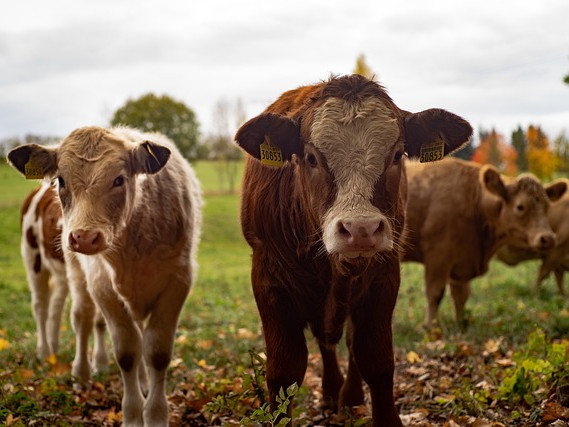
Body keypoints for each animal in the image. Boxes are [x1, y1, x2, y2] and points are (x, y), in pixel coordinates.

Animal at [8, 127, 202, 427]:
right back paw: (63, 362)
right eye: (61, 180)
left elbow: (156, 352)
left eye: (119, 179)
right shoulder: (102, 285)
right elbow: (127, 351)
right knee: (63, 312)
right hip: (39, 261)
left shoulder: (178, 281)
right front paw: (133, 416)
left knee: (62, 309)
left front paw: (155, 413)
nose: (84, 237)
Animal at [233, 75, 472, 426]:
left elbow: (376, 359)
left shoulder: (384, 277)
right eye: (311, 158)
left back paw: (349, 397)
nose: (361, 229)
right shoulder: (268, 280)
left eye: (397, 155)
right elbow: (284, 370)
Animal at [402, 159, 564, 330]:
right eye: (520, 206)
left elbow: (461, 296)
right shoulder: (438, 256)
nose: (548, 238)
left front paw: (460, 325)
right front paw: (431, 328)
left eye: (547, 207)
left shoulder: (462, 261)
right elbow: (435, 293)